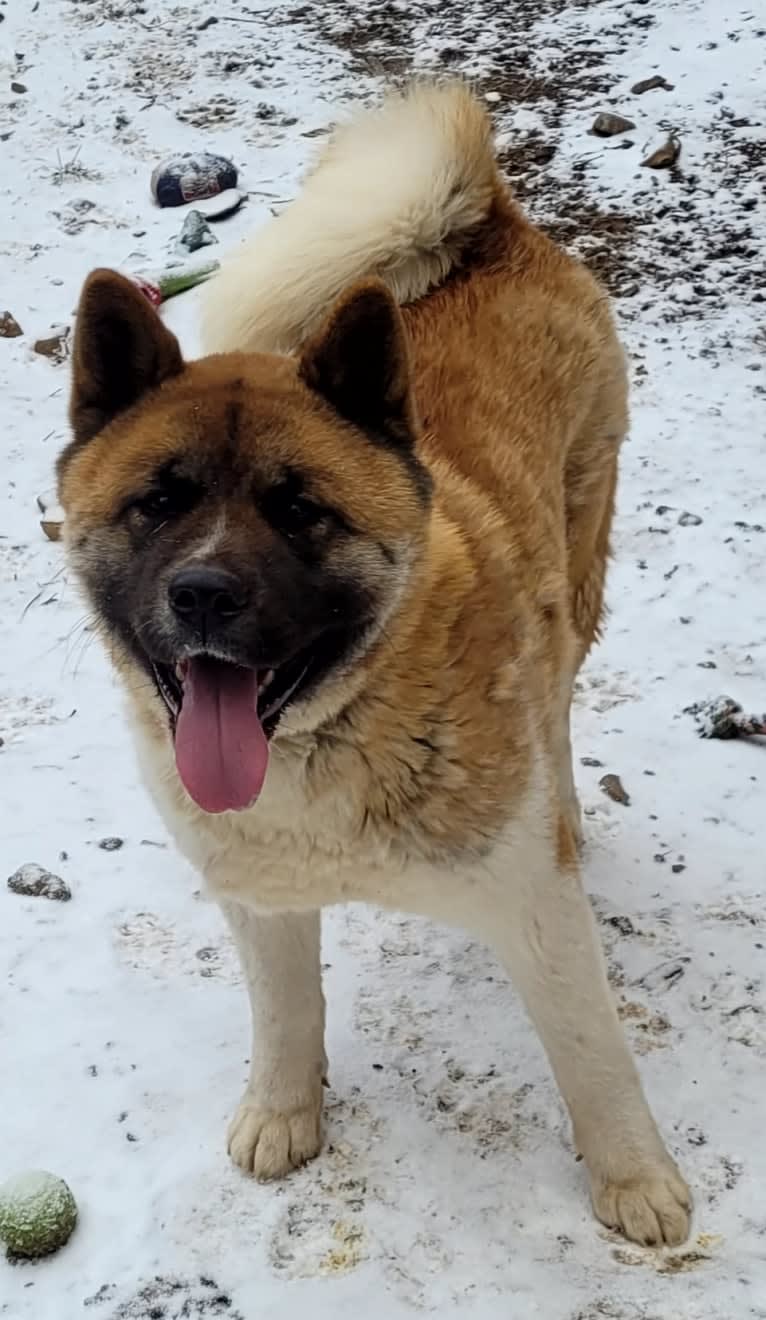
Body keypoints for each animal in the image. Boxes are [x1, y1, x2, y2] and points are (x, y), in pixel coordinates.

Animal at [56, 85, 692, 1246]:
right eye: (159, 501)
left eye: (299, 509)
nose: (204, 594)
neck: (331, 731)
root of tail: (486, 221)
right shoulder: (260, 901)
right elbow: (285, 1015)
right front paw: (283, 1115)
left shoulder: (536, 905)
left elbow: (592, 1056)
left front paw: (636, 1182)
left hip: (578, 563)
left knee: (561, 701)